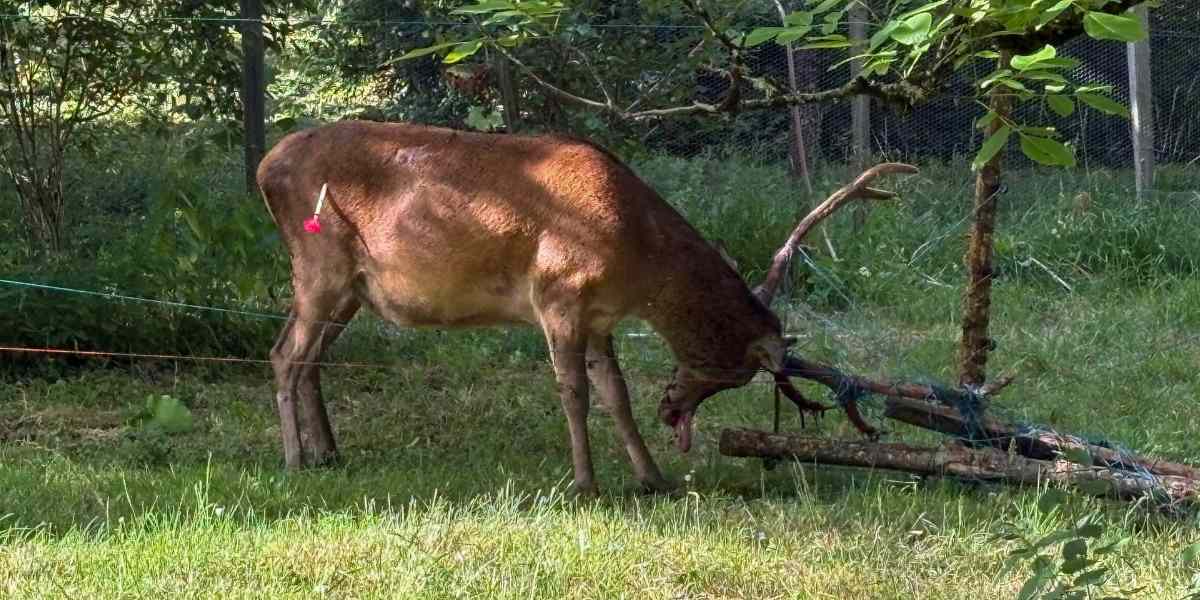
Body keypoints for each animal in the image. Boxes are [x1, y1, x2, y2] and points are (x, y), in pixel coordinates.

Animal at [257, 119, 917, 494]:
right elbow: (573, 393)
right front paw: (585, 483)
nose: (673, 410)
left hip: (350, 288)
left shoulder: (600, 318)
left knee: (308, 356)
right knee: (284, 354)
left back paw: (329, 453)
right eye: (734, 370)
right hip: (319, 263)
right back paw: (294, 461)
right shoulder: (559, 293)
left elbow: (615, 393)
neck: (637, 262)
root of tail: (264, 167)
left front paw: (653, 479)